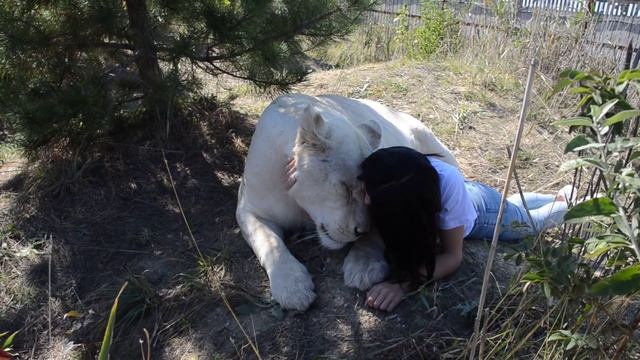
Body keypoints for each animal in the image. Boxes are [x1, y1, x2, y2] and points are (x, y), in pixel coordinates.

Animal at [235, 93, 456, 310]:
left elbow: (377, 232)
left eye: (367, 191)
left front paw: (364, 267)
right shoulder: (249, 208)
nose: (360, 231)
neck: (299, 204)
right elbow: (269, 242)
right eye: (346, 188)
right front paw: (293, 289)